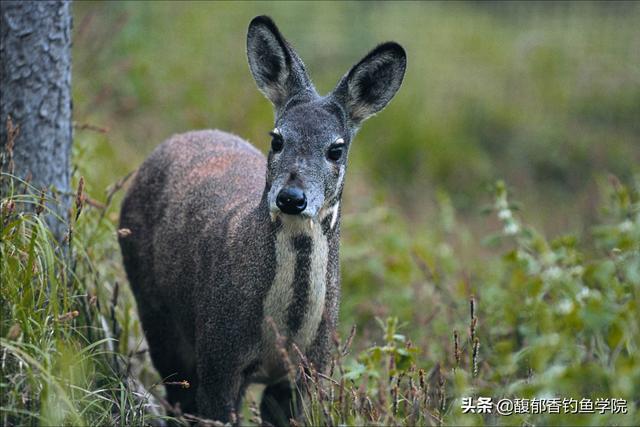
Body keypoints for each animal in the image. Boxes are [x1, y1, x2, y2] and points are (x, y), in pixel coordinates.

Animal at [119, 15, 404, 426]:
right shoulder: (219, 356)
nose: (291, 198)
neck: (283, 332)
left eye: (336, 149)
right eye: (277, 139)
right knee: (176, 392)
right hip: (154, 308)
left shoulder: (309, 370)